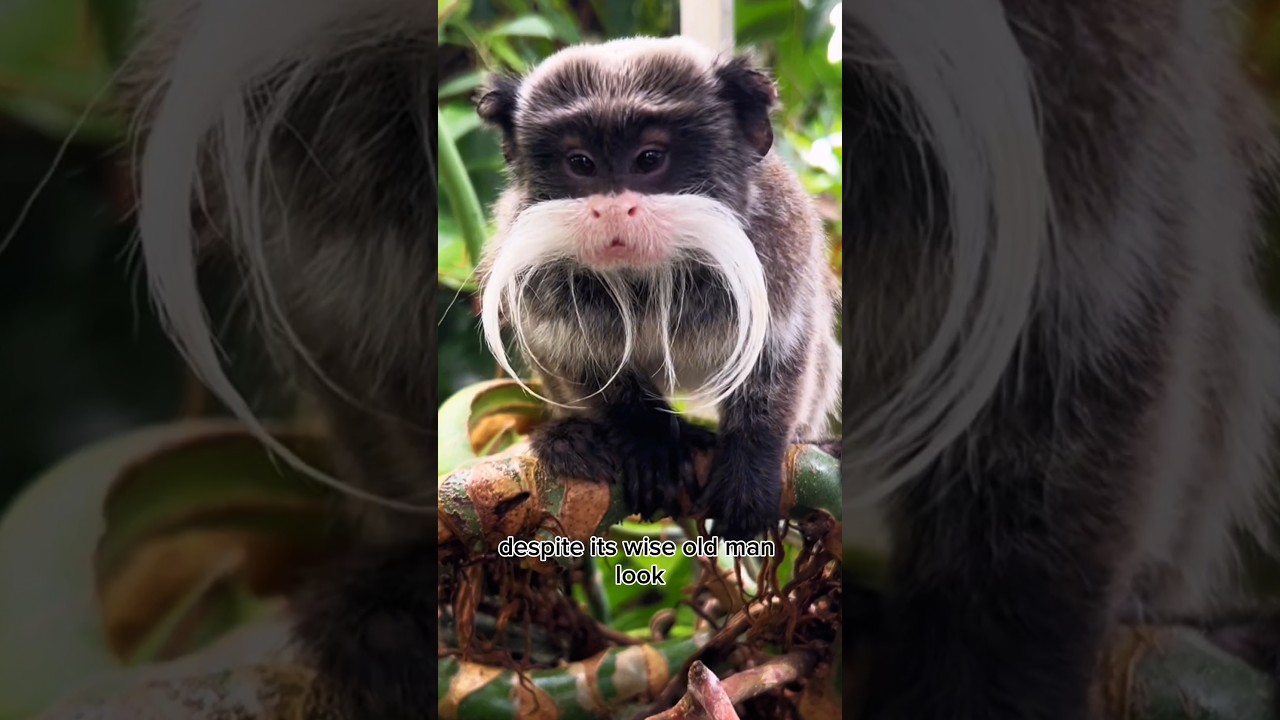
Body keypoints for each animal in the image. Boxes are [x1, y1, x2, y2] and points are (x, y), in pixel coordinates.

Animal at [473, 36, 842, 542]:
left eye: (649, 158)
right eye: (581, 162)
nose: (611, 211)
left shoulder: (780, 243)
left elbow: (780, 359)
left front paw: (751, 469)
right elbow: (582, 358)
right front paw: (648, 442)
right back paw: (572, 439)